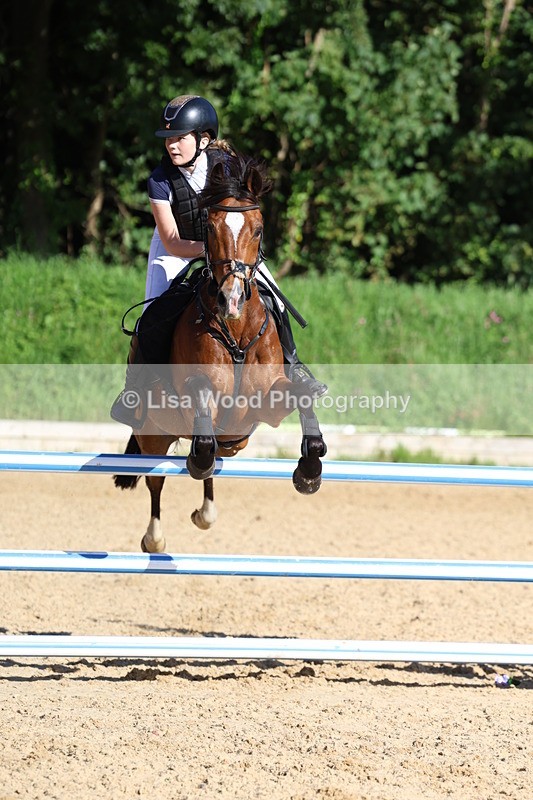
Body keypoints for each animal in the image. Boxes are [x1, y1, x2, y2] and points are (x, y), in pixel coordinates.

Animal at [114, 152, 327, 553]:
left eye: (258, 229)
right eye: (209, 230)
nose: (232, 300)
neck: (238, 332)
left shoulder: (268, 399)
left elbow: (303, 396)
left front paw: (310, 468)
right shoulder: (194, 393)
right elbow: (200, 407)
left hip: (233, 440)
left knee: (213, 459)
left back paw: (205, 512)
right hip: (153, 430)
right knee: (158, 477)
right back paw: (154, 538)